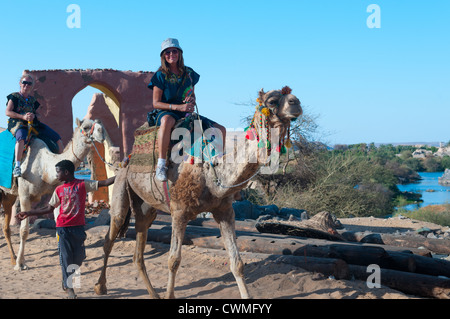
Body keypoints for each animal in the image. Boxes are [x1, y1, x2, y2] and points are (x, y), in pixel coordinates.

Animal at [0, 119, 107, 272]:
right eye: (86, 127)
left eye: (99, 124)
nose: (101, 132)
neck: (44, 167)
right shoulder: (24, 194)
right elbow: (24, 230)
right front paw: (21, 264)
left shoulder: (54, 193)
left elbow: (58, 227)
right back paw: (15, 260)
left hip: (8, 194)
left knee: (6, 227)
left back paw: (13, 258)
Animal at [93, 86, 300, 298]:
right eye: (272, 101)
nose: (296, 103)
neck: (210, 173)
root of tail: (124, 162)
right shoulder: (178, 212)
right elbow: (173, 260)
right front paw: (169, 295)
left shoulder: (225, 211)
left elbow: (237, 263)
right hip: (121, 190)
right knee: (110, 236)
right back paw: (100, 286)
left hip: (146, 207)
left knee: (138, 250)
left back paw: (153, 294)